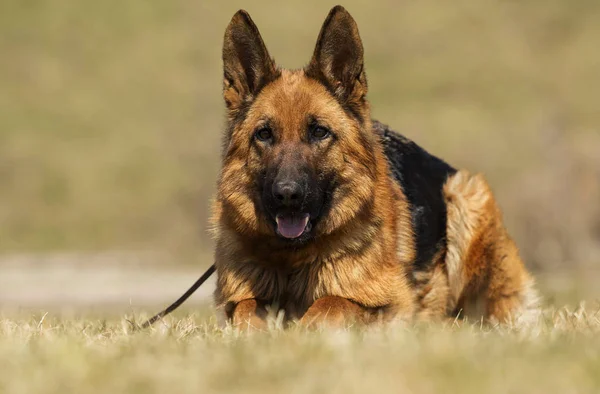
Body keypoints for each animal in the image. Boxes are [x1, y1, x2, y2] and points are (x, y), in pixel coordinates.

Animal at [211, 5, 540, 330]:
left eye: (319, 132)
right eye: (264, 134)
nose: (287, 195)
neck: (293, 260)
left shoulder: (391, 303)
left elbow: (329, 303)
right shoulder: (239, 301)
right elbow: (247, 308)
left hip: (465, 195)